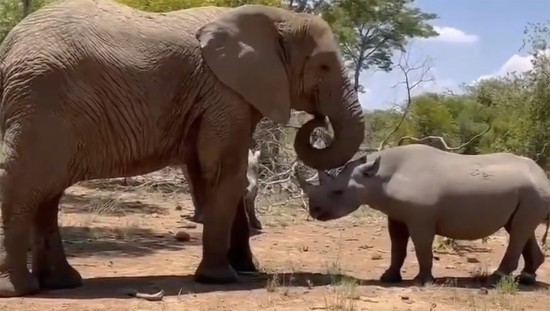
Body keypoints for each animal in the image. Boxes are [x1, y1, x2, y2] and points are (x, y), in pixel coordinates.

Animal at [0, 0, 366, 298]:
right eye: (323, 67)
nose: (316, 120)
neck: (275, 18)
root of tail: (8, 47)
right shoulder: (223, 93)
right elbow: (225, 172)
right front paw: (221, 278)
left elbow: (211, 174)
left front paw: (247, 269)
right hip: (42, 100)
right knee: (25, 182)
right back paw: (19, 289)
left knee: (48, 193)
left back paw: (62, 283)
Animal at [298, 145, 550, 288]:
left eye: (338, 192)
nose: (315, 211)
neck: (376, 177)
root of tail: (542, 174)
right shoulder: (396, 215)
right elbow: (397, 246)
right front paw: (388, 277)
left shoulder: (421, 217)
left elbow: (421, 247)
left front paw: (422, 281)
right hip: (529, 193)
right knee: (519, 228)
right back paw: (526, 279)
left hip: (534, 192)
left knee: (518, 231)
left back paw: (494, 280)